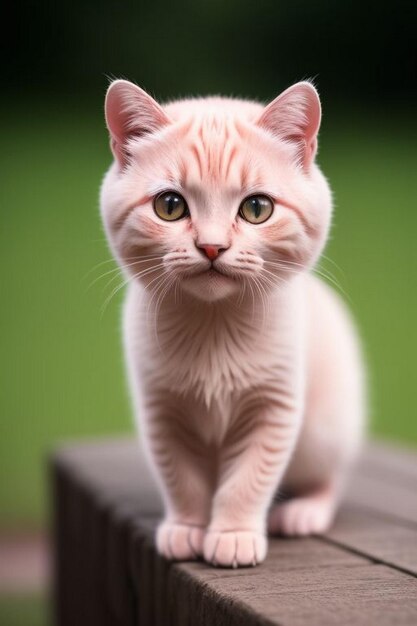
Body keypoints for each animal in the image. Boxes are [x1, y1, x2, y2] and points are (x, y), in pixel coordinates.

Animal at [99, 78, 362, 564]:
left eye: (257, 208)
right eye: (169, 206)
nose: (211, 246)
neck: (214, 324)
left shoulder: (274, 407)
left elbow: (249, 478)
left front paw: (233, 534)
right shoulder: (161, 411)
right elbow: (181, 477)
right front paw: (187, 528)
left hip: (323, 431)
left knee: (331, 476)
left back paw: (305, 511)